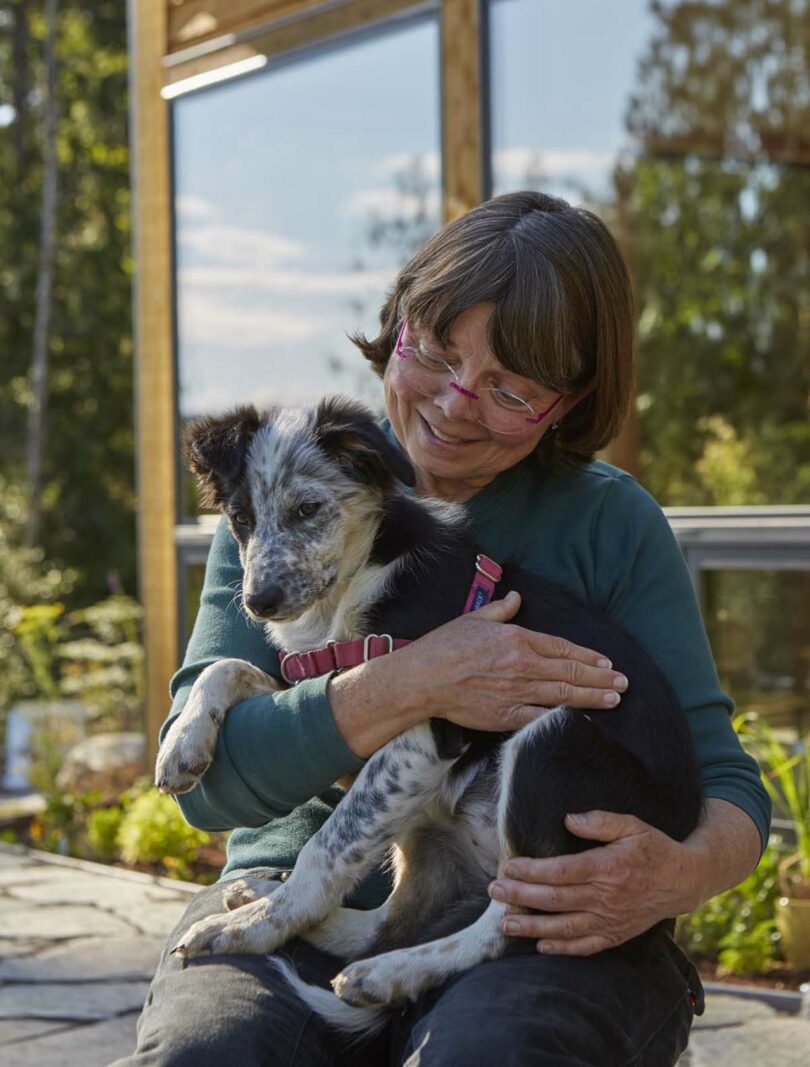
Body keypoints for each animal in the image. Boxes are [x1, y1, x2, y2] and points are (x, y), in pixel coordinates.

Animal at [156, 394, 704, 1032]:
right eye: (241, 518)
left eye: (308, 508)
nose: (256, 600)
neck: (360, 577)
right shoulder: (335, 697)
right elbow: (227, 668)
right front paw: (183, 744)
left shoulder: (422, 734)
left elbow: (327, 848)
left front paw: (252, 930)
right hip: (430, 820)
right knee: (394, 919)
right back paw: (280, 905)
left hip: (555, 745)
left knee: (513, 927)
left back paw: (386, 972)